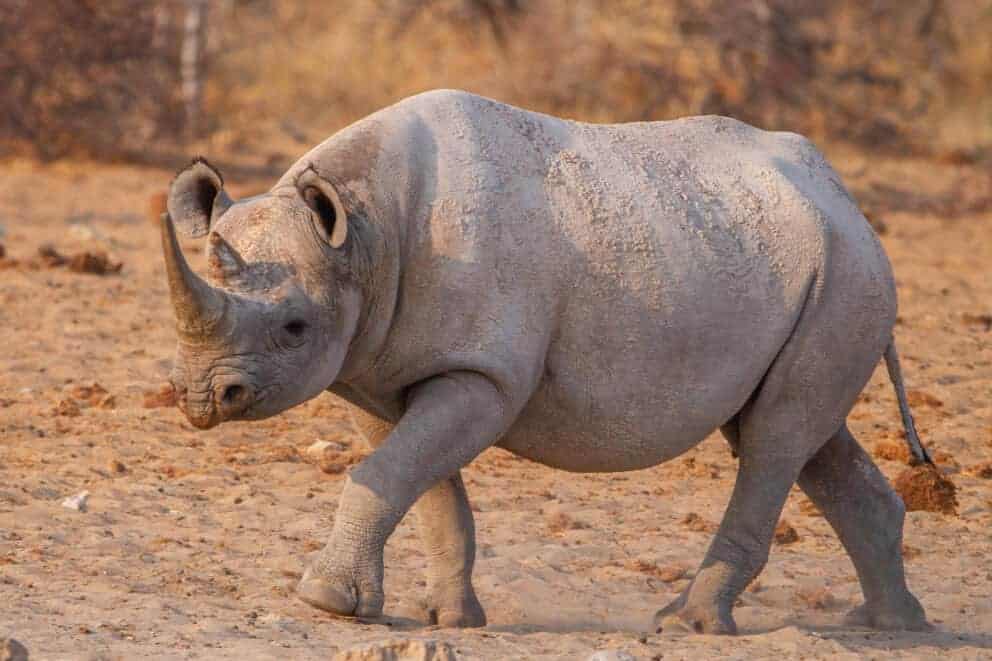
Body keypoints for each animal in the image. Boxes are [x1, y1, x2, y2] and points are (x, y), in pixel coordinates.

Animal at [161, 89, 932, 634]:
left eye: (294, 327)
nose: (201, 397)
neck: (366, 232)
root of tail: (846, 199)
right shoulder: (378, 373)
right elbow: (420, 486)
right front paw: (448, 619)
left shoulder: (485, 373)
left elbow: (384, 477)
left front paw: (325, 602)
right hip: (797, 263)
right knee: (799, 435)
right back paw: (892, 625)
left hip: (846, 272)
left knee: (775, 438)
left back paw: (685, 624)